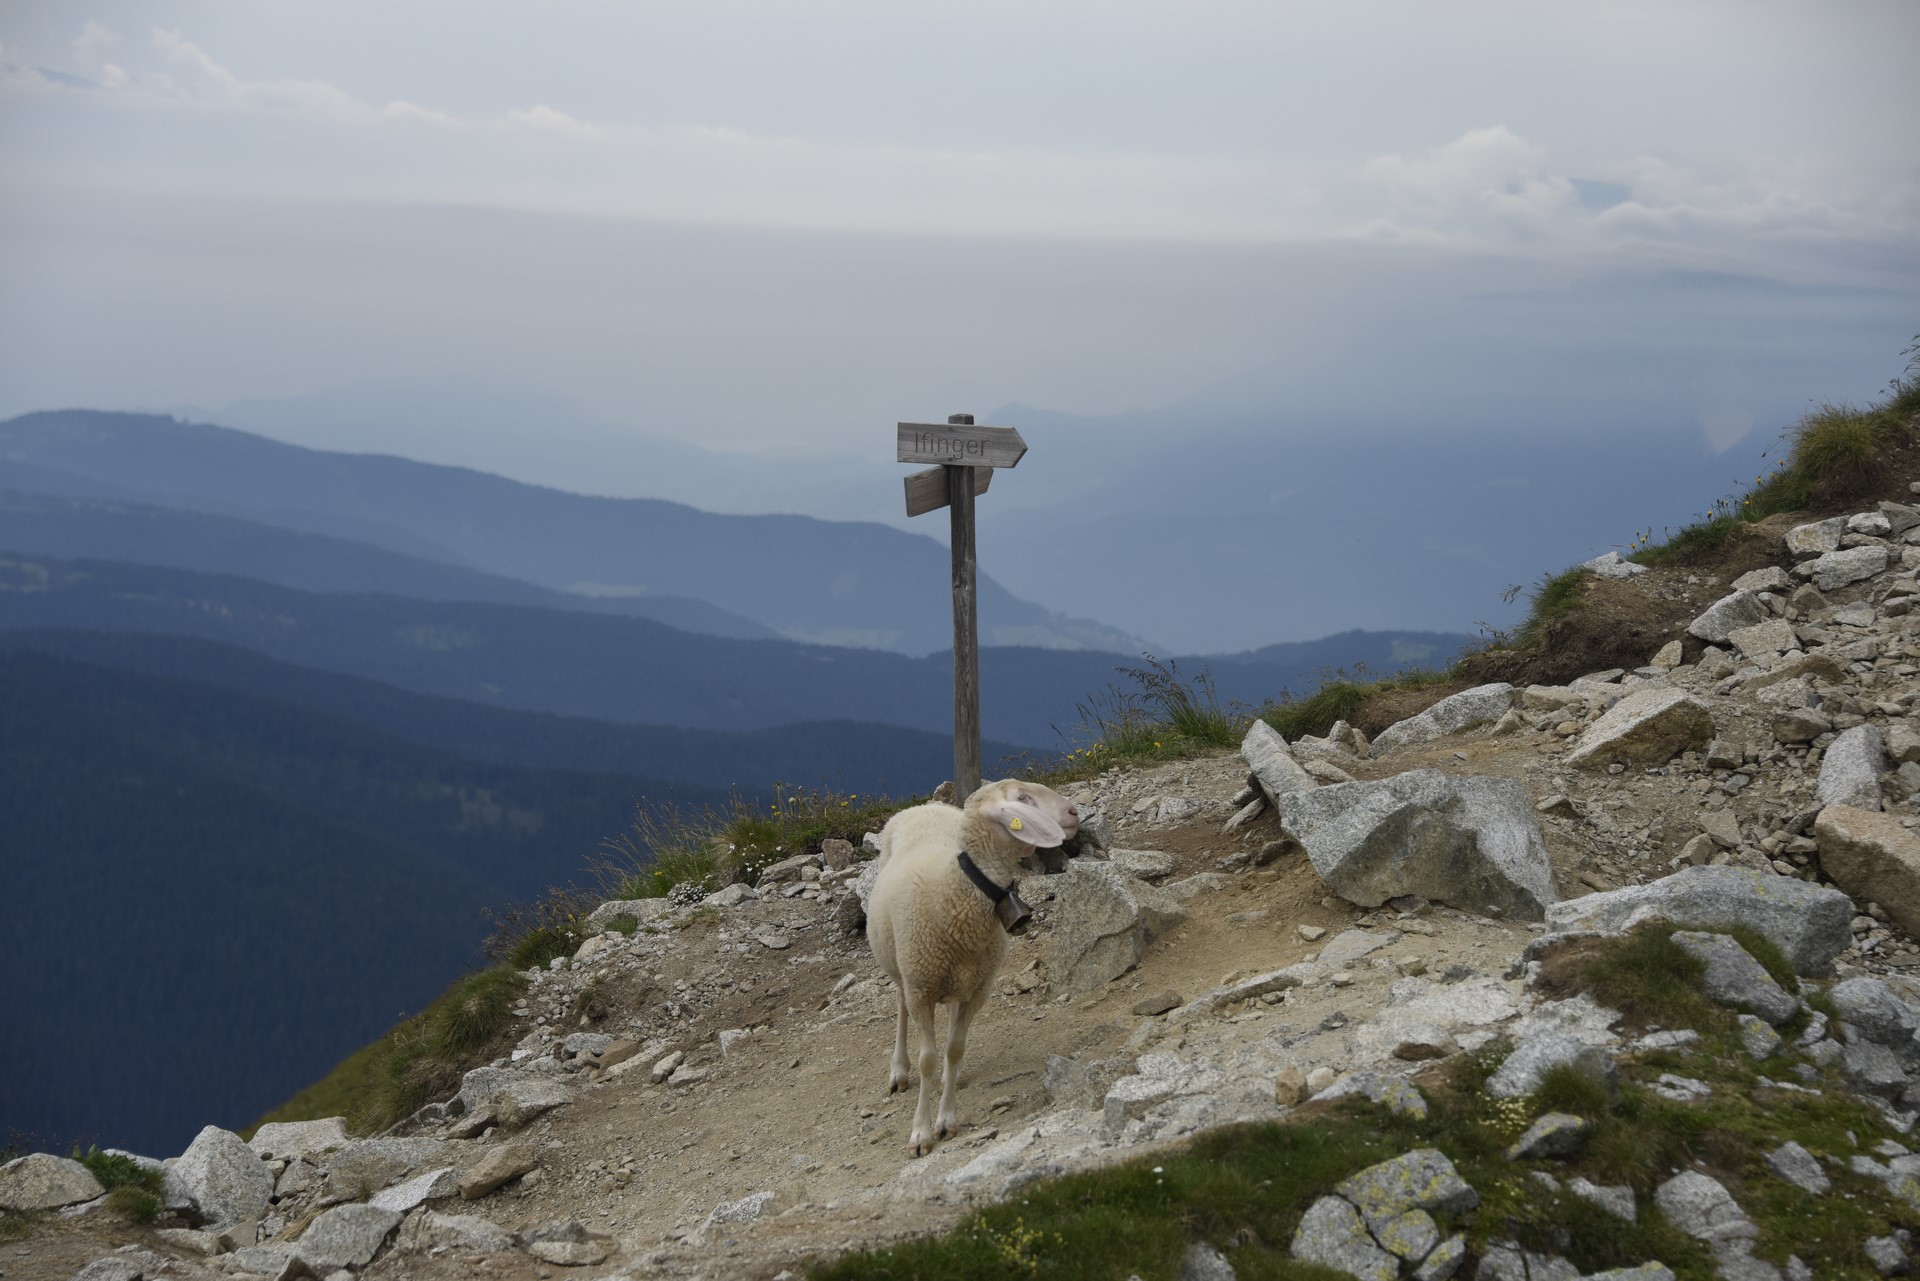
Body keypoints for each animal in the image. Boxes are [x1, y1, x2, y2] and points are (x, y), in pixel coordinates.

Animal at [864, 775, 1075, 1160]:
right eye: (1022, 798)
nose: (1073, 813)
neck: (959, 889)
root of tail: (924, 805)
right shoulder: (921, 989)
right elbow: (928, 1060)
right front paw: (920, 1132)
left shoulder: (979, 989)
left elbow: (954, 1049)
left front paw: (946, 1118)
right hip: (900, 965)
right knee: (900, 1006)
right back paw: (898, 1070)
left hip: (959, 979)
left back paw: (953, 1076)